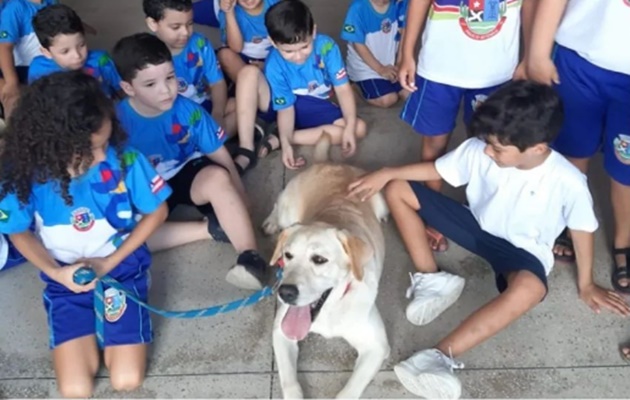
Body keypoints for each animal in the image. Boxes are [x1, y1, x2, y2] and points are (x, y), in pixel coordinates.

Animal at [262, 136, 390, 398]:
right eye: (287, 255)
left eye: (319, 259)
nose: (285, 293)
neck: (330, 310)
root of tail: (329, 163)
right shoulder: (281, 332)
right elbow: (290, 382)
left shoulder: (377, 346)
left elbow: (348, 392)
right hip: (288, 208)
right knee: (278, 206)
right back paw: (271, 222)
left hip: (381, 200)